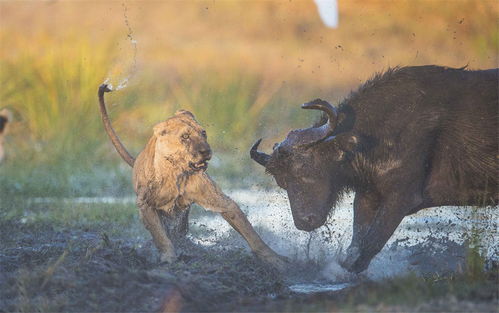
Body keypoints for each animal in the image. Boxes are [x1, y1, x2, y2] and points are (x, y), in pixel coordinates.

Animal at [252, 66, 498, 272]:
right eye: (282, 182)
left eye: (304, 168)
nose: (304, 222)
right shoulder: (368, 195)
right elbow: (356, 243)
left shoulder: (402, 197)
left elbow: (371, 242)